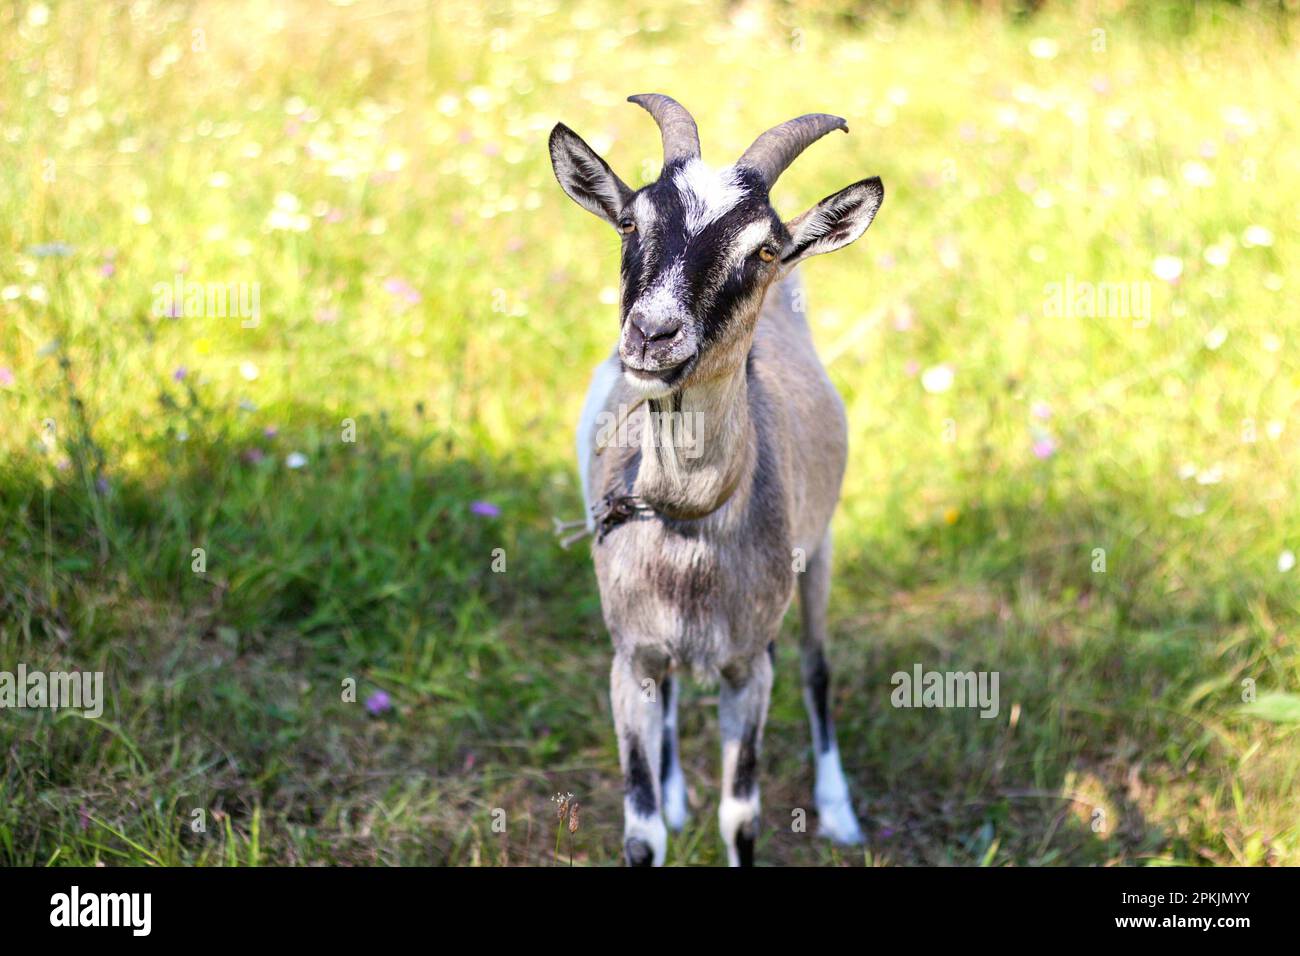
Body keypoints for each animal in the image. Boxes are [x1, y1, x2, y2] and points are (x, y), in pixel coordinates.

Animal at [548, 91, 883, 868]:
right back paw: (677, 793)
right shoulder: (630, 658)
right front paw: (663, 805)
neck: (690, 515)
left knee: (816, 667)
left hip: (820, 547)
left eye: (762, 248)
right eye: (630, 220)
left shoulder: (746, 672)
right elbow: (640, 829)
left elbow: (742, 814)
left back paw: (839, 810)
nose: (652, 334)